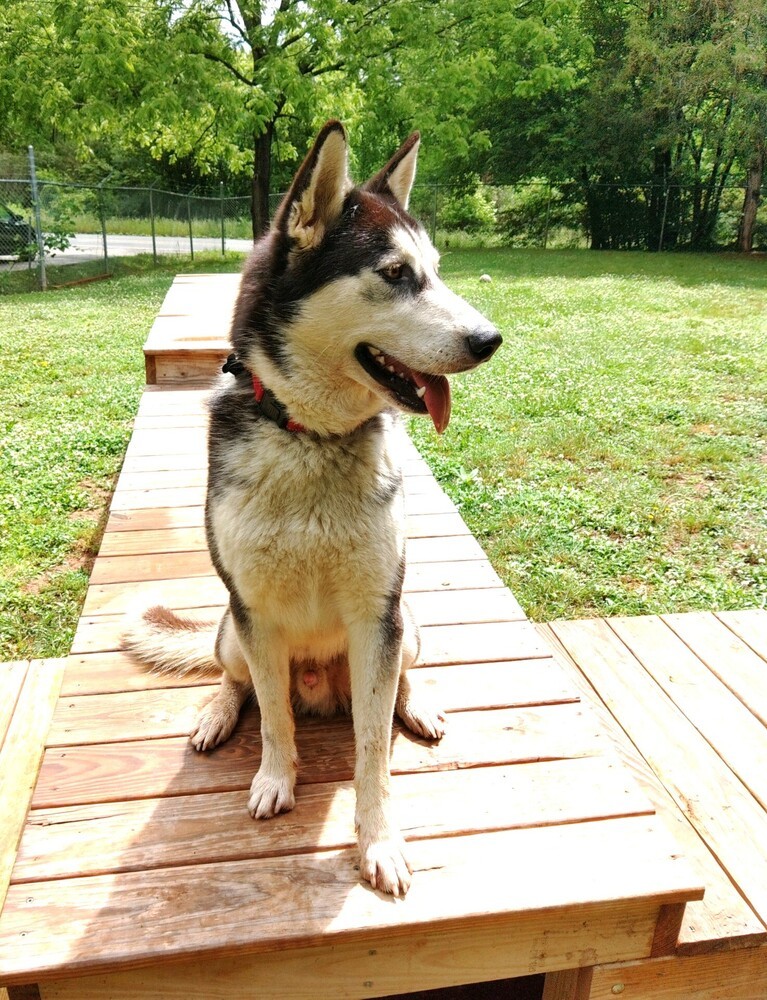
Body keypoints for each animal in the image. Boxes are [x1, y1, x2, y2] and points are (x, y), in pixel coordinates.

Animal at [123, 121, 500, 896]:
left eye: (436, 270)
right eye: (396, 274)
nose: (490, 340)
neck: (312, 439)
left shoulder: (377, 614)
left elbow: (371, 752)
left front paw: (378, 838)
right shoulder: (255, 614)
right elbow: (272, 716)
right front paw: (275, 778)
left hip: (405, 623)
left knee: (396, 682)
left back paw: (415, 702)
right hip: (229, 629)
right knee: (236, 680)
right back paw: (216, 712)